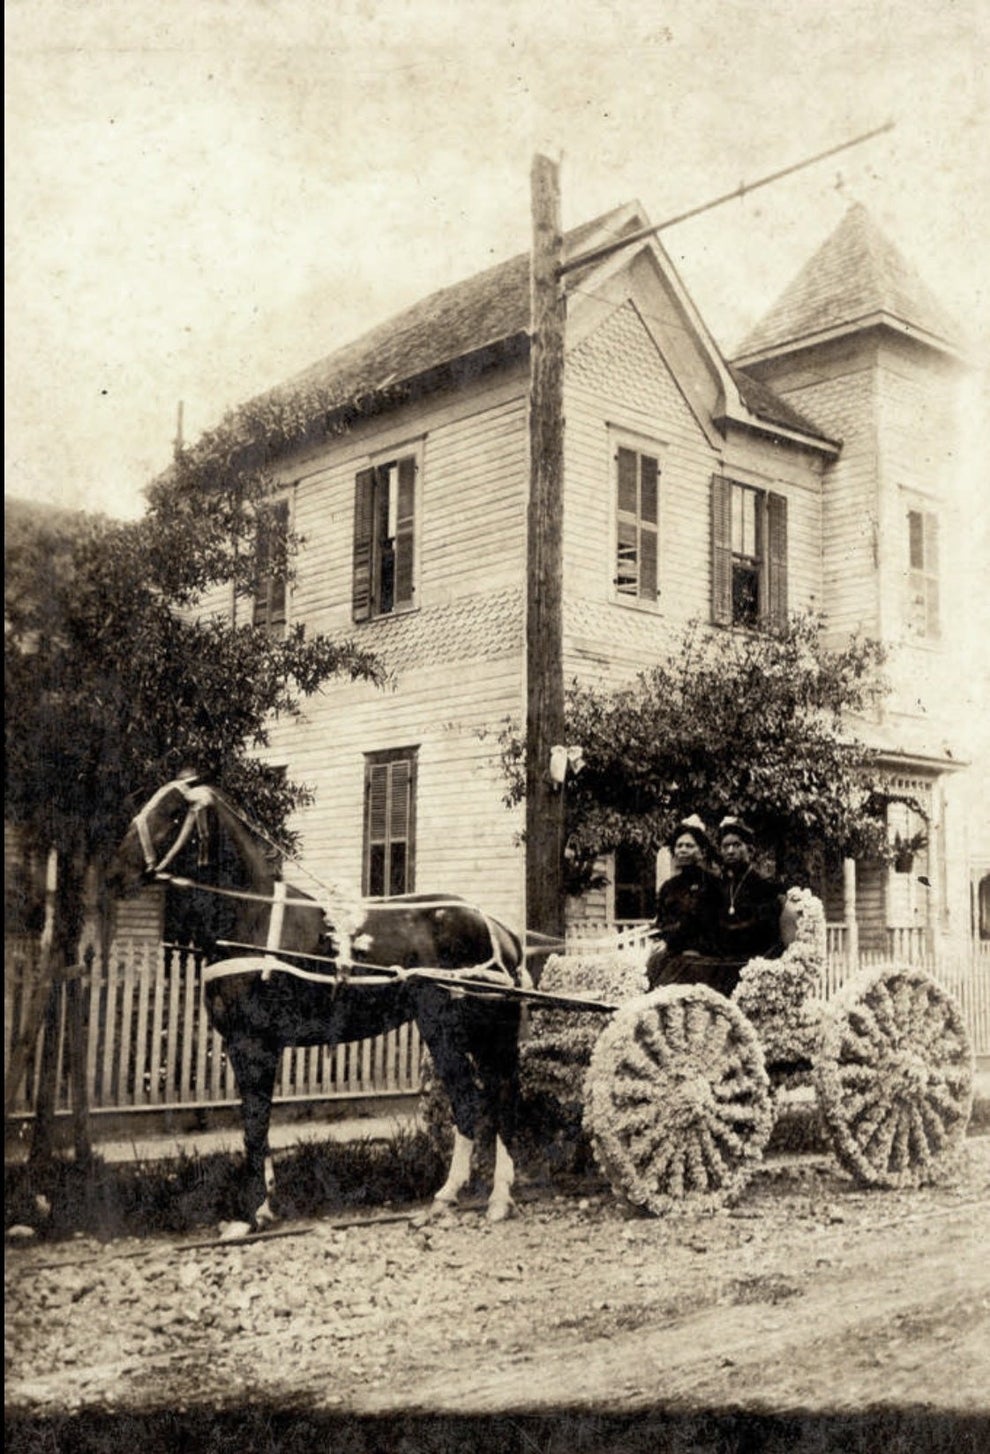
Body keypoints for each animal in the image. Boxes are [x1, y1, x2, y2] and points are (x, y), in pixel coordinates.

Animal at [106, 773, 526, 1227]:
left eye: (173, 813)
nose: (115, 874)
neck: (251, 920)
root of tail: (498, 929)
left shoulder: (255, 1043)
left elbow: (255, 1124)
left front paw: (252, 1211)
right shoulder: (241, 1046)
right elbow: (254, 1121)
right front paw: (264, 1203)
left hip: (453, 1029)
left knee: (483, 1101)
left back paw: (485, 1195)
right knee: (484, 1100)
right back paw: (463, 1195)